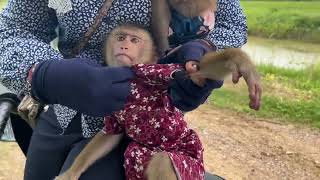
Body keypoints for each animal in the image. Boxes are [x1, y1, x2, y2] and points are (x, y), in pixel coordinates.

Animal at [55, 23, 260, 180]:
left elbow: (195, 74)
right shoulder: (111, 98)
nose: (124, 47)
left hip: (193, 164)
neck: (131, 80)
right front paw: (71, 173)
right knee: (136, 152)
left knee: (163, 161)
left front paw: (237, 59)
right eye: (120, 38)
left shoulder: (153, 70)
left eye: (134, 41)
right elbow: (110, 135)